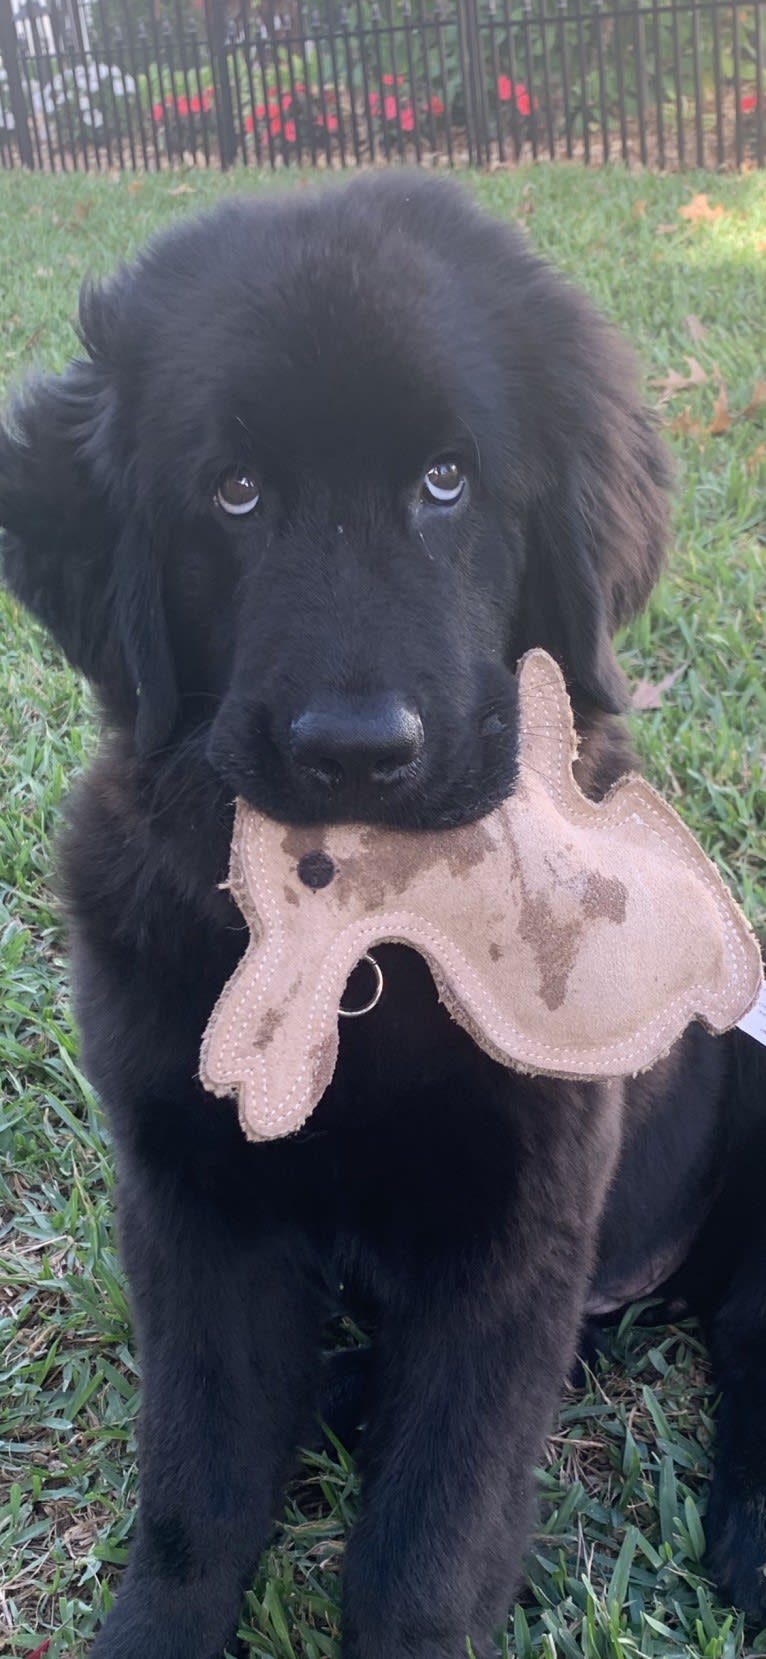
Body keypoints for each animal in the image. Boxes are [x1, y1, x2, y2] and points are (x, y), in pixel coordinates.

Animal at [1, 171, 766, 1659]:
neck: (375, 954)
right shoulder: (196, 1211)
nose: (356, 753)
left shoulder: (512, 1233)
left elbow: (433, 1537)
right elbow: (194, 1492)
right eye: (234, 493)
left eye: (446, 480)